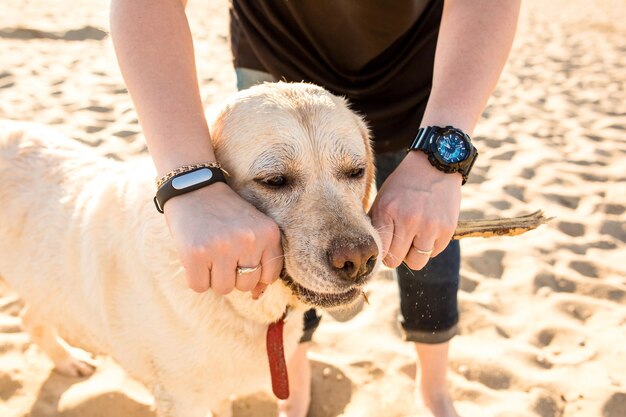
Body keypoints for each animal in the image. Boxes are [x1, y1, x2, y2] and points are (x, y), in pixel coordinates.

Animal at [0, 82, 380, 416]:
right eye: (274, 181)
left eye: (356, 171)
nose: (360, 260)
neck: (232, 300)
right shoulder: (181, 400)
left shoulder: (219, 391)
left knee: (29, 317)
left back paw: (68, 361)